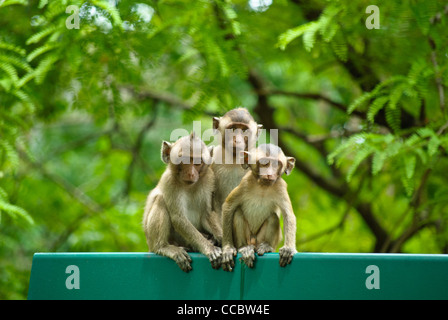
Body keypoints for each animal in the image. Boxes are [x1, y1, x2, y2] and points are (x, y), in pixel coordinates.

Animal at [142, 132, 222, 272]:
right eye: (184, 160)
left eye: (197, 163)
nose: (191, 173)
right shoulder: (169, 181)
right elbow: (178, 218)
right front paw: (210, 248)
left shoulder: (209, 179)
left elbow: (207, 214)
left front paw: (223, 240)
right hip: (155, 241)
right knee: (160, 200)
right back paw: (163, 247)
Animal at [220, 144, 298, 272]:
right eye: (264, 163)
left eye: (276, 164)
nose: (269, 173)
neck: (262, 187)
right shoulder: (245, 182)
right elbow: (228, 207)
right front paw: (227, 249)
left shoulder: (280, 186)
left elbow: (288, 216)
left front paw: (288, 249)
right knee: (238, 213)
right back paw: (245, 248)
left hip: (261, 239)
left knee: (273, 217)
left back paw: (266, 246)